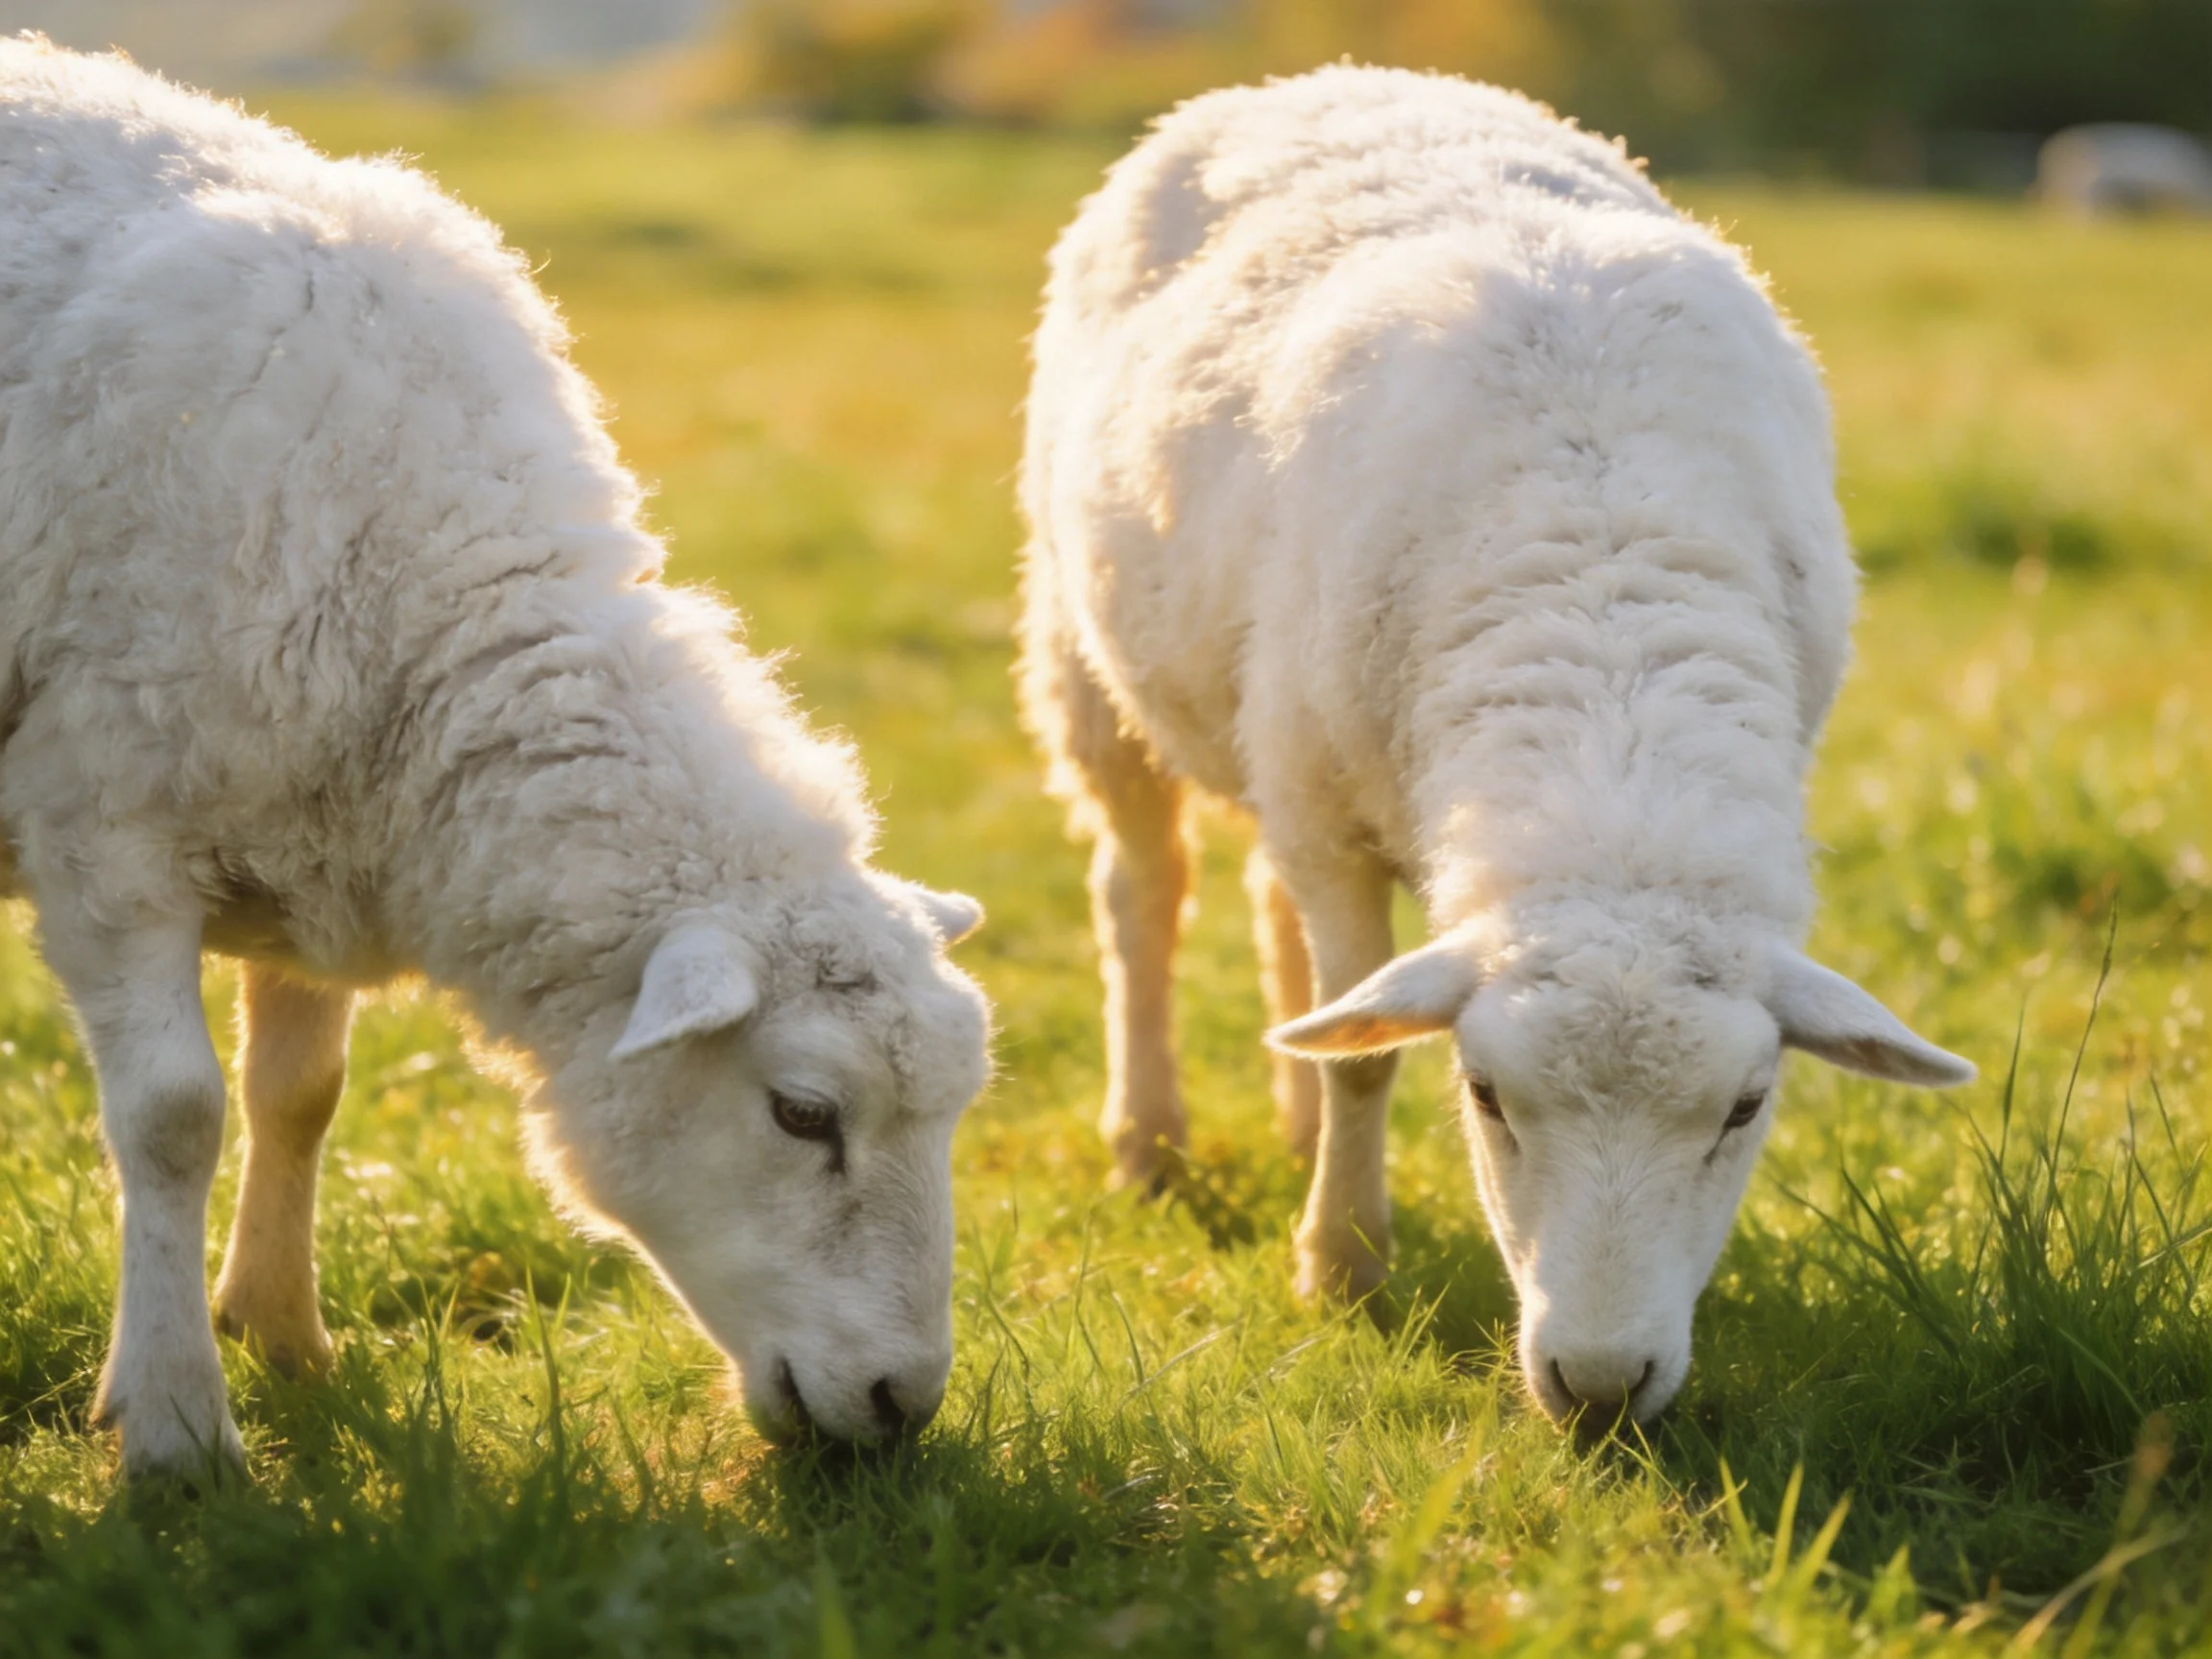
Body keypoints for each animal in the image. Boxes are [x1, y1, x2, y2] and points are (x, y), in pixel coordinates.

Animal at [0, 37, 990, 1478]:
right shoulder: (106, 831)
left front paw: (285, 1336)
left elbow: (301, 1093)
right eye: (804, 1112)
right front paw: (178, 1422)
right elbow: (177, 1117)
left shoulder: (310, 832)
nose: (899, 1406)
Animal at [1018, 66, 1972, 1425]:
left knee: (1275, 920)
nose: (1603, 1384)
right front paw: (1341, 1269)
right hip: (1091, 660)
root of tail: (1332, 75)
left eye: (1746, 1108)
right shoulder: (1327, 811)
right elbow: (1365, 1073)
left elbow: (1342, 1020)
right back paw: (1149, 1142)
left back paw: (1293, 1124)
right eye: (1485, 1097)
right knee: (1142, 898)